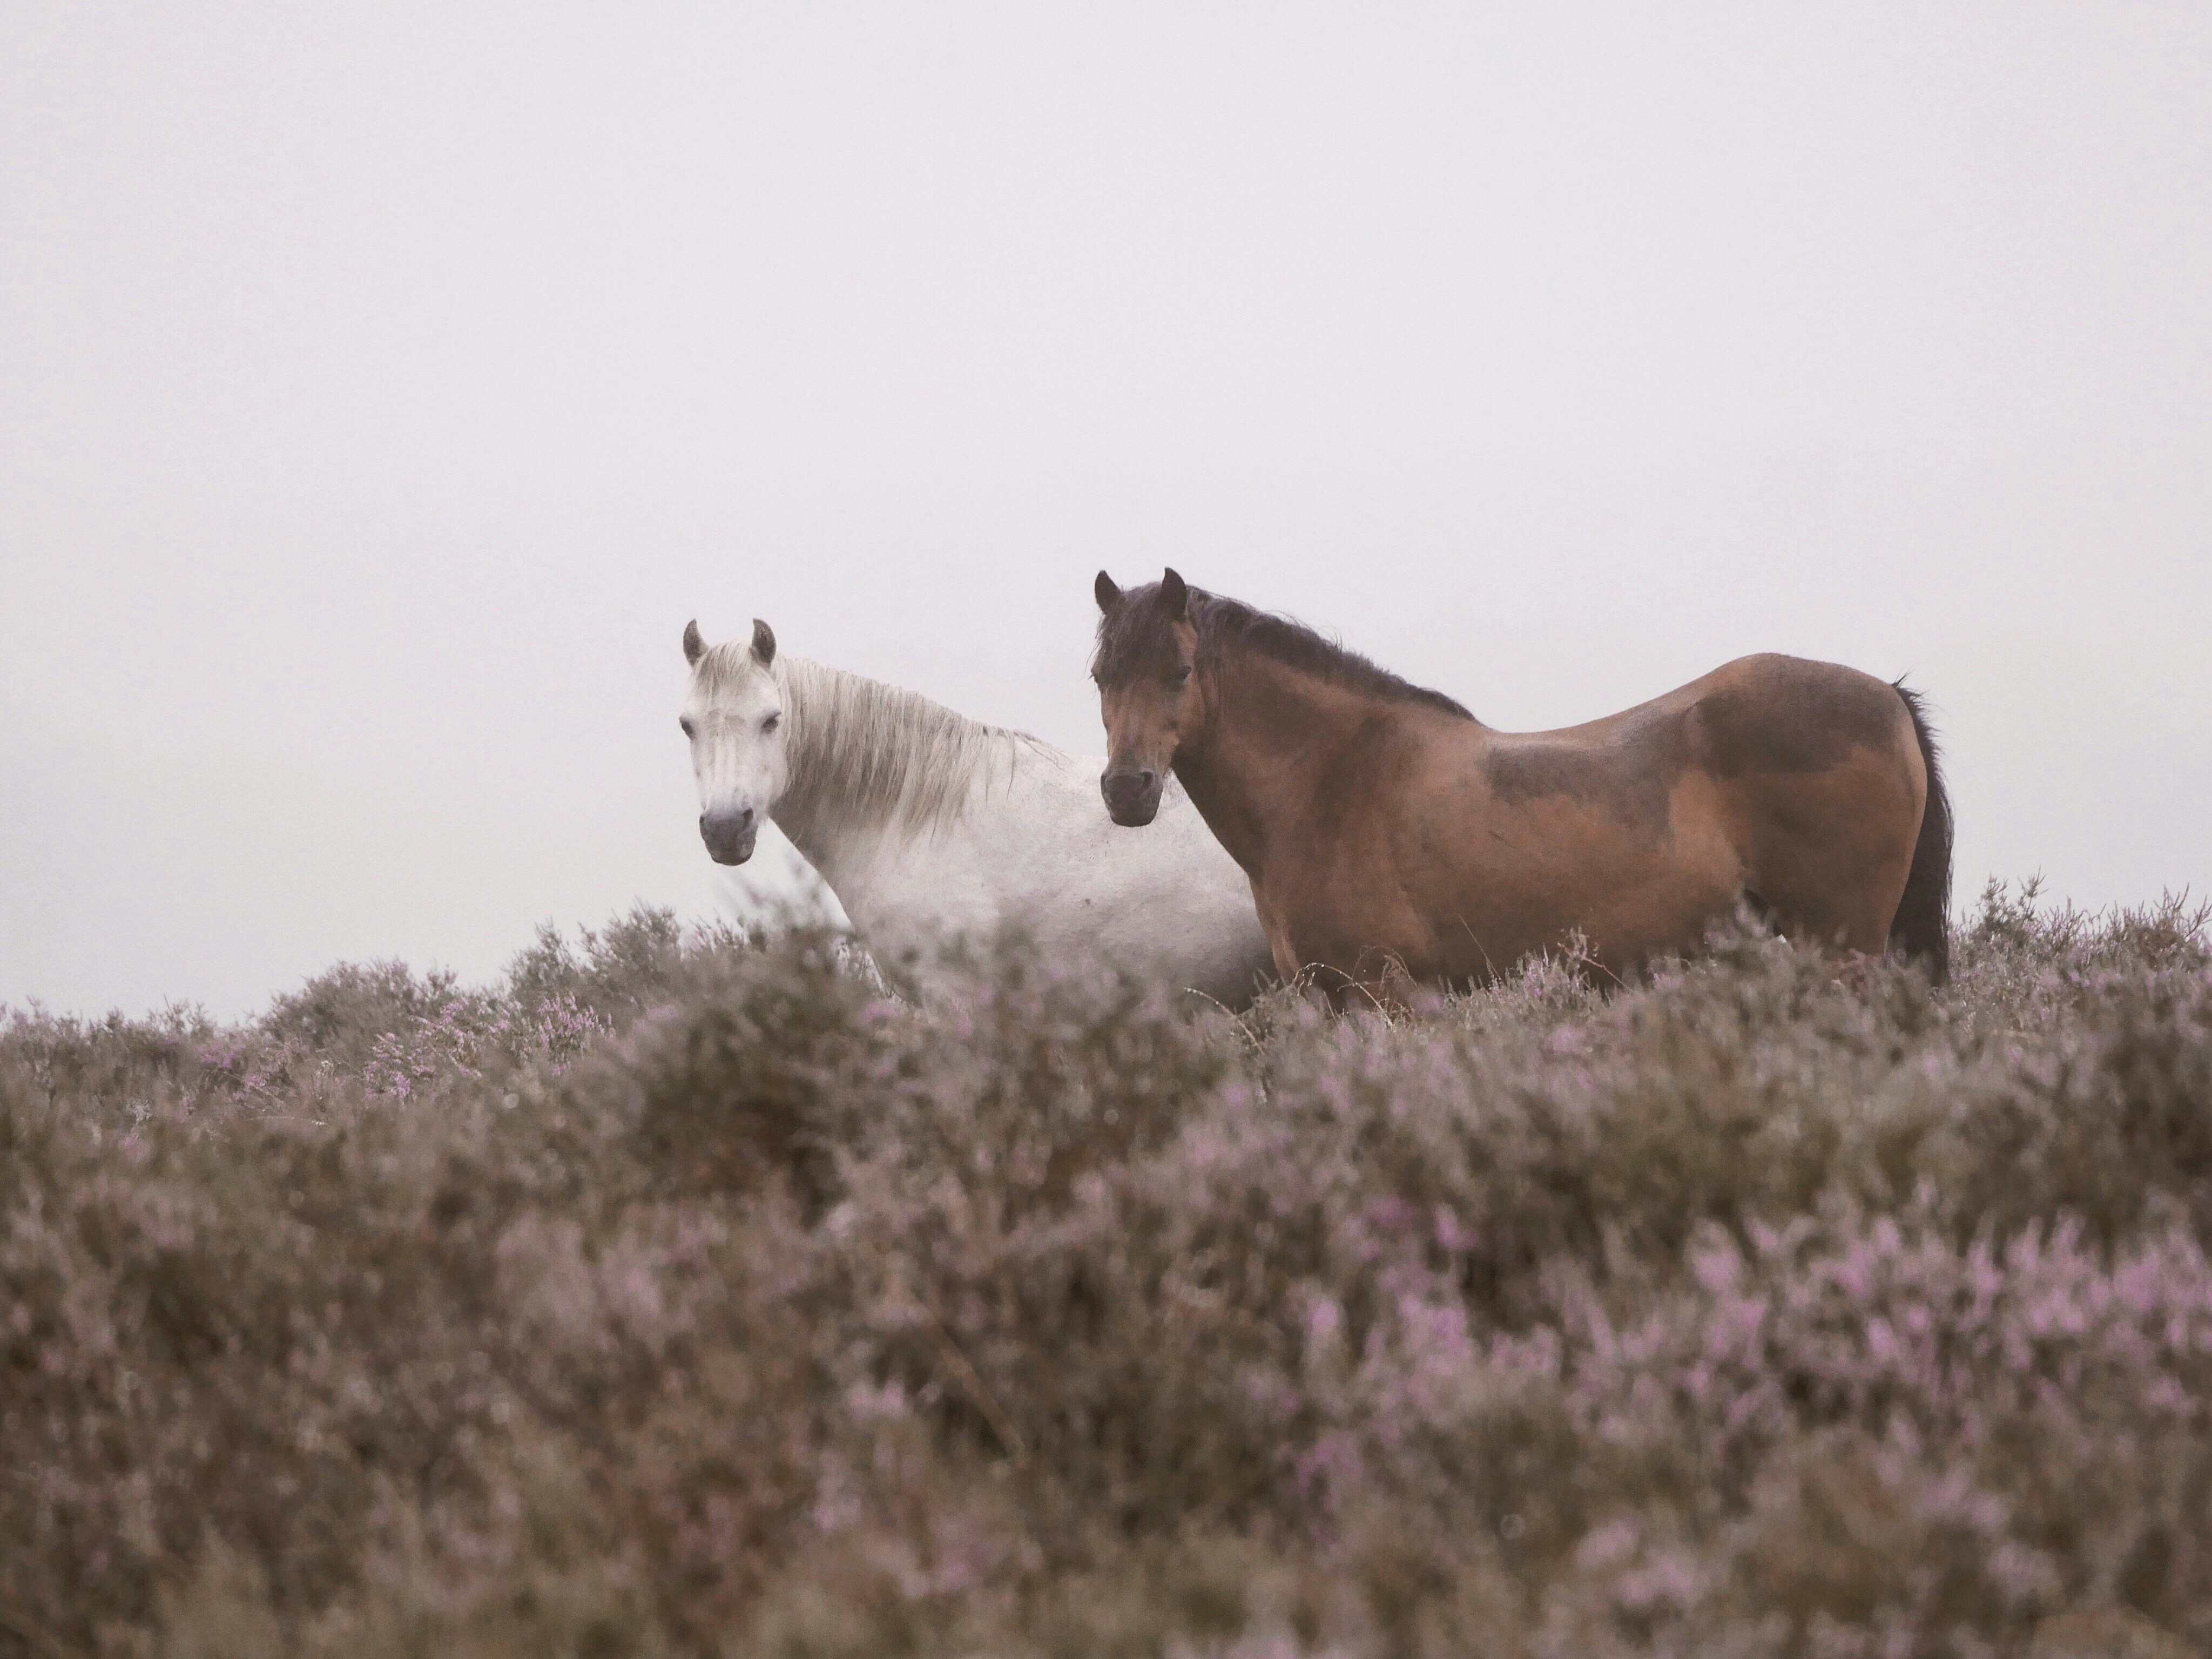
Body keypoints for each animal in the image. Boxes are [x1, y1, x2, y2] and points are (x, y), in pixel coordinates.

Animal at [1089, 569, 1953, 1000]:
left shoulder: (1385, 995)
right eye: (1101, 674)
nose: (1127, 790)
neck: (1331, 778)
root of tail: (1888, 697)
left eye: (1180, 670)